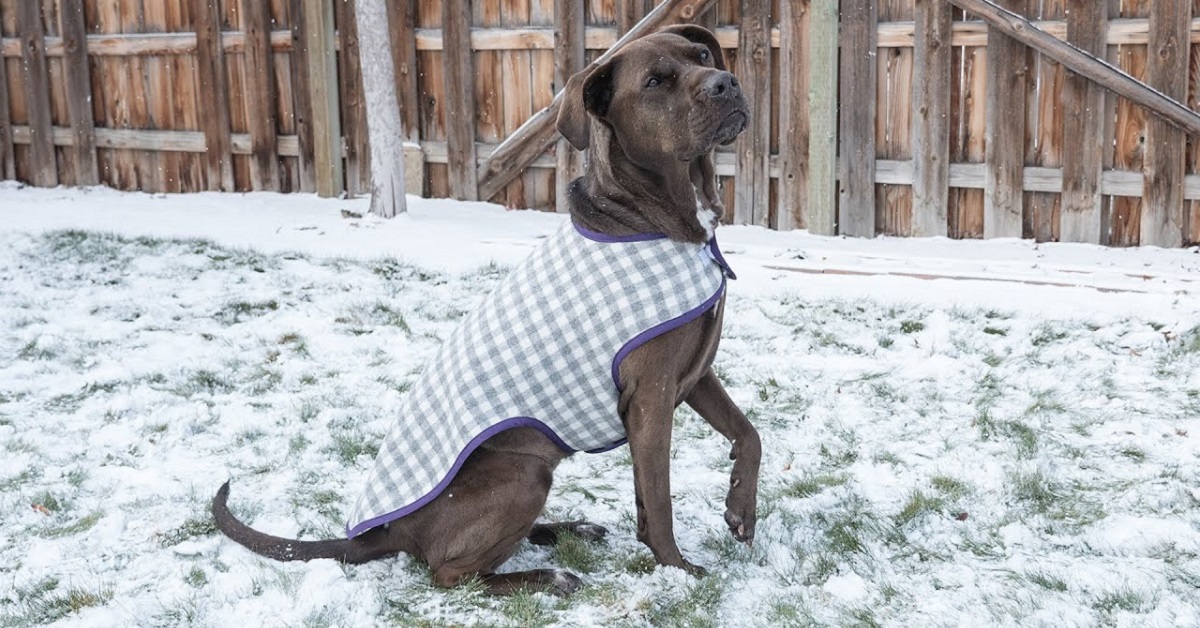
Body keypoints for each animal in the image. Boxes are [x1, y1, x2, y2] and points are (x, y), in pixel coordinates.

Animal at [212, 23, 758, 595]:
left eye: (702, 54)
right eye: (655, 81)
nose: (725, 83)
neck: (657, 219)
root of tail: (384, 533)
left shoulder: (693, 373)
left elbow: (748, 431)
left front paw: (740, 508)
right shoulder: (650, 398)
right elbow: (657, 497)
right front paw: (678, 570)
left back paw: (567, 530)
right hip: (524, 472)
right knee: (451, 573)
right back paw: (548, 574)